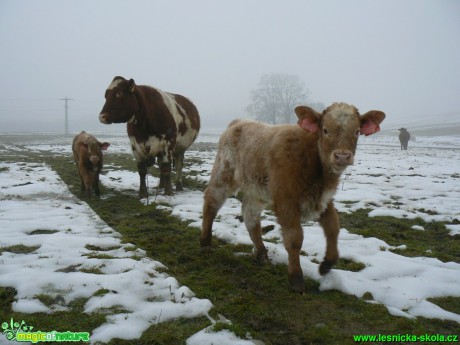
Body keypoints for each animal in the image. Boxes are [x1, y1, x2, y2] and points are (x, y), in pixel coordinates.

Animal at [201, 103, 384, 292]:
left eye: (357, 131)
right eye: (325, 130)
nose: (342, 156)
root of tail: (239, 122)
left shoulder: (323, 200)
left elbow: (333, 227)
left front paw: (327, 264)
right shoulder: (286, 200)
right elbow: (295, 238)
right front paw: (296, 277)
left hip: (257, 190)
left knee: (250, 215)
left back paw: (261, 254)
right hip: (223, 173)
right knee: (211, 202)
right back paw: (205, 242)